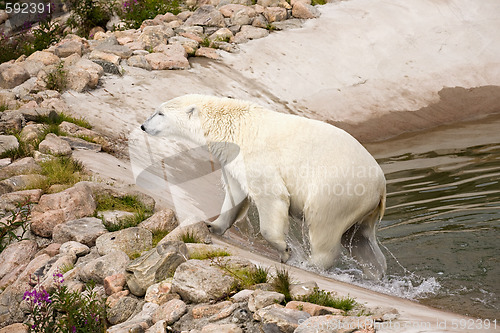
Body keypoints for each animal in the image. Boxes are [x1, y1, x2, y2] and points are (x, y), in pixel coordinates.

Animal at [141, 94, 386, 278]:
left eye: (160, 113)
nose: (143, 125)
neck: (234, 125)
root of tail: (381, 185)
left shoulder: (257, 156)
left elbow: (271, 195)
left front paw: (285, 250)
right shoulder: (233, 159)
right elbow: (235, 193)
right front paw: (212, 225)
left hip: (336, 190)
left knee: (324, 227)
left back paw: (310, 263)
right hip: (361, 206)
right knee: (360, 239)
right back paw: (376, 271)